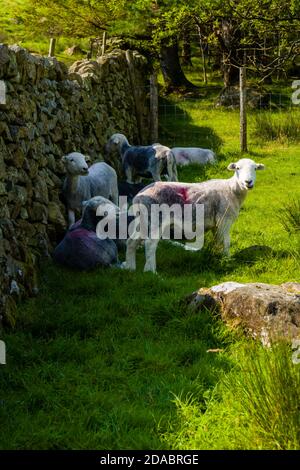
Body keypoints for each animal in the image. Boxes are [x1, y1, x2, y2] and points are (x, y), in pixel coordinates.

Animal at [123, 160, 264, 274]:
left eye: (255, 168)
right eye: (237, 168)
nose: (248, 182)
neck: (232, 190)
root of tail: (138, 197)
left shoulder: (216, 224)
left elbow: (217, 241)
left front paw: (218, 257)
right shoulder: (224, 219)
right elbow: (226, 242)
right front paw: (227, 259)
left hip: (142, 220)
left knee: (131, 241)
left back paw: (130, 268)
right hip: (155, 219)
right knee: (150, 244)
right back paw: (152, 272)